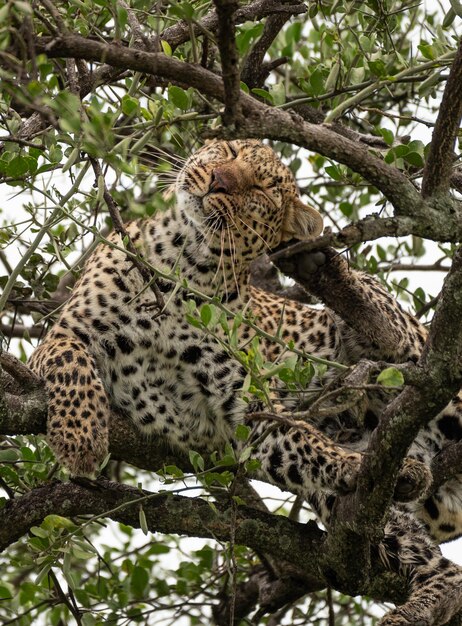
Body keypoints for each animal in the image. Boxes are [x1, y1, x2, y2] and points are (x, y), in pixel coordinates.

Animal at [28, 139, 462, 620]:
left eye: (262, 188)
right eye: (231, 149)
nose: (219, 180)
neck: (182, 260)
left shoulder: (242, 397)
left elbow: (303, 437)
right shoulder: (64, 334)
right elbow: (72, 363)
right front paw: (80, 438)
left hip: (413, 353)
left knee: (400, 340)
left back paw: (326, 272)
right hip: (351, 504)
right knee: (444, 570)